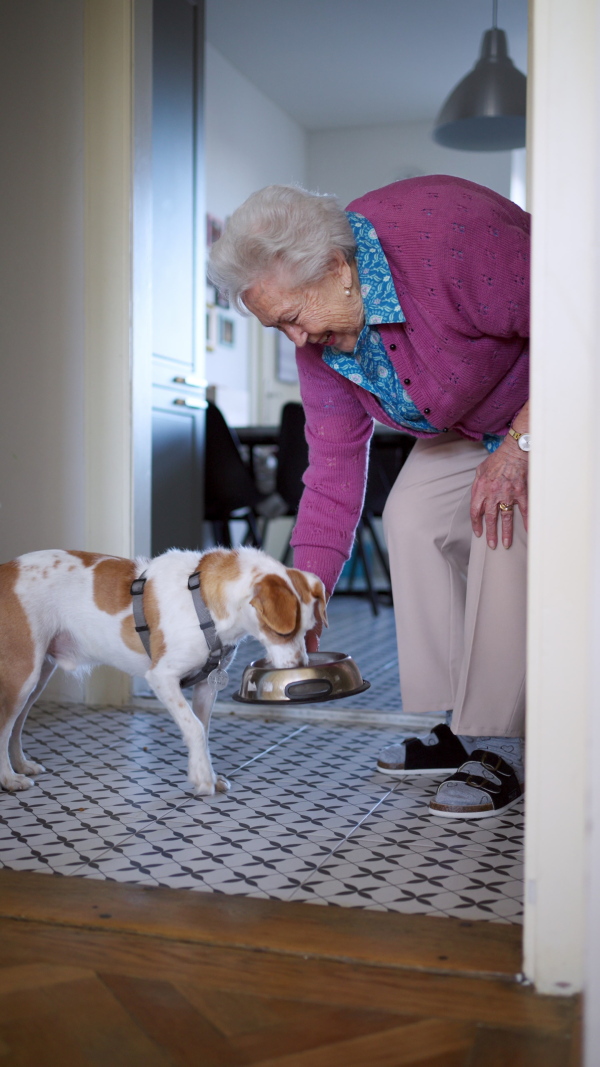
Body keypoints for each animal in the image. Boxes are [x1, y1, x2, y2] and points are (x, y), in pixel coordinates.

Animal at [0, 550, 324, 793]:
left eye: (308, 630)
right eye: (281, 632)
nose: (299, 667)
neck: (203, 604)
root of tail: (5, 568)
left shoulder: (207, 685)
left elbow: (203, 729)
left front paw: (205, 771)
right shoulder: (161, 678)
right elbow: (194, 727)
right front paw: (203, 779)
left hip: (37, 679)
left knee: (15, 727)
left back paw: (22, 765)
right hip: (21, 677)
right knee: (4, 727)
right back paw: (9, 778)